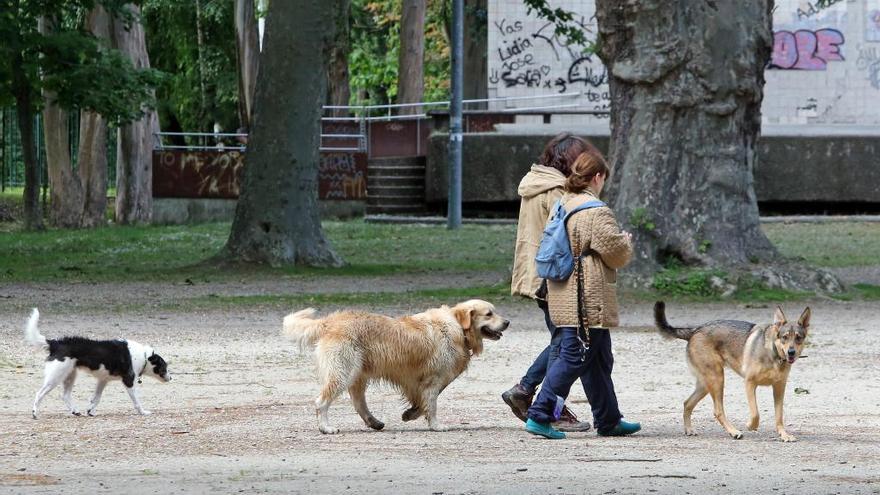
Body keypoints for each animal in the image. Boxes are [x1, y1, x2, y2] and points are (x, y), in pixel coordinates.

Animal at [24, 310, 172, 418]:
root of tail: (55, 344)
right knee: (39, 393)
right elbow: (136, 401)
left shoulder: (103, 380)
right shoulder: (128, 381)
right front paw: (143, 412)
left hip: (70, 375)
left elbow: (96, 398)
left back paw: (75, 411)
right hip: (56, 377)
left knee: (65, 395)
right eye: (164, 367)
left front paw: (90, 411)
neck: (145, 356)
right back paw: (35, 413)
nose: (171, 378)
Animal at [284, 298, 508, 434]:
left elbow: (424, 401)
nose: (507, 322)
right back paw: (326, 428)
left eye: (495, 312)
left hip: (357, 374)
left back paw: (373, 422)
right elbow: (432, 403)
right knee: (322, 401)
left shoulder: (425, 380)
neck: (459, 328)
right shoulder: (434, 377)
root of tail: (331, 320)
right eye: (489, 314)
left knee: (358, 402)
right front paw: (436, 425)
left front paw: (410, 414)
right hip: (343, 372)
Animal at [652, 302, 812, 442]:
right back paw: (734, 431)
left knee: (687, 403)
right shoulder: (749, 383)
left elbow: (779, 416)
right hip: (717, 379)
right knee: (717, 411)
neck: (774, 354)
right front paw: (750, 425)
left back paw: (689, 429)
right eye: (784, 337)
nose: (791, 352)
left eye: (798, 338)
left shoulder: (779, 388)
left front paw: (784, 435)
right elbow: (755, 413)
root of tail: (695, 330)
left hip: (705, 384)